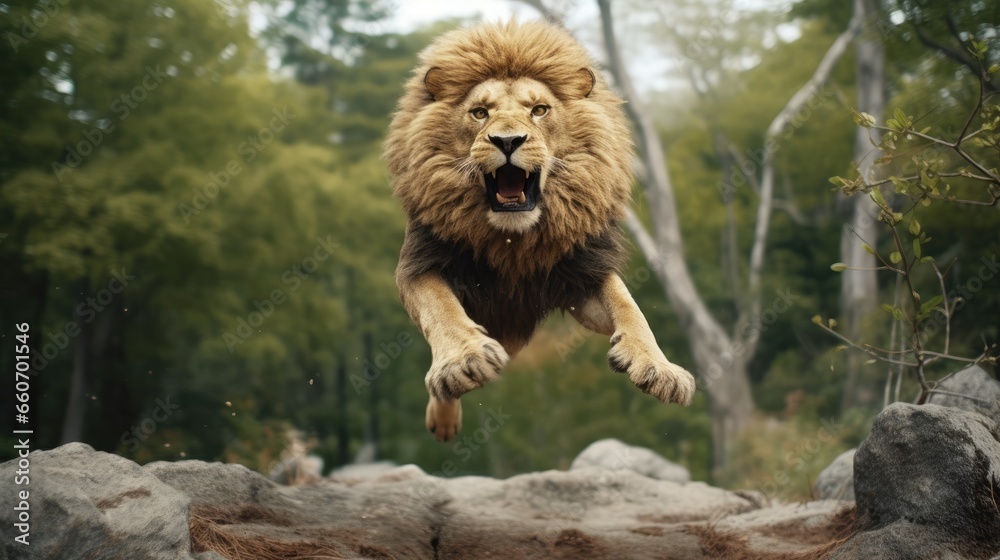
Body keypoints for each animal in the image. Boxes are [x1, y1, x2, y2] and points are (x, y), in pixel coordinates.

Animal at [385, 19, 696, 442]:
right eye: (479, 112)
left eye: (539, 110)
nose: (507, 140)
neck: (515, 239)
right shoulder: (422, 264)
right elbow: (441, 309)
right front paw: (466, 360)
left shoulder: (582, 272)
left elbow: (628, 306)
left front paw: (660, 369)